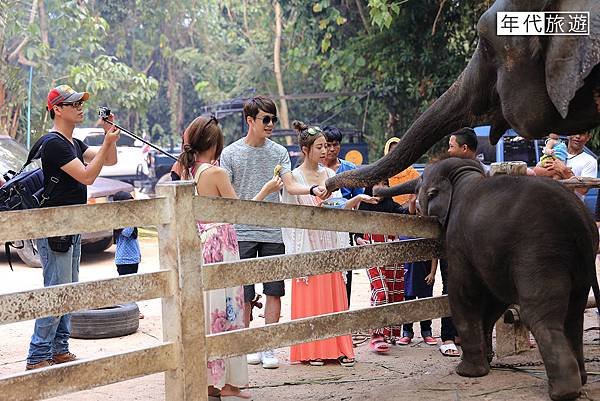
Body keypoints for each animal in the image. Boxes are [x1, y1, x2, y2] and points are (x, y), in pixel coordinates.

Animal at [380, 155, 600, 400]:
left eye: (421, 188)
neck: (464, 176)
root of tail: (579, 219)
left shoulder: (458, 241)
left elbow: (463, 294)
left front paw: (467, 372)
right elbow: (495, 300)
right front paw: (487, 361)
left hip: (540, 253)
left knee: (540, 315)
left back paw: (563, 392)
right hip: (580, 262)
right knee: (574, 313)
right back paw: (581, 379)